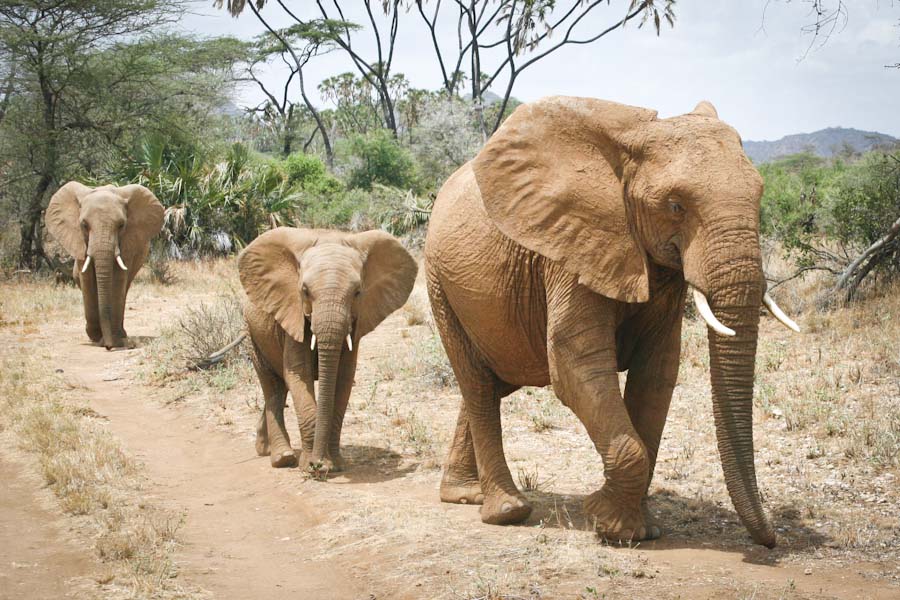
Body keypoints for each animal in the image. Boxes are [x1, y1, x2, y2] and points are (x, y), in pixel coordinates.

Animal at [46, 180, 165, 350]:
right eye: (84, 225)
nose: (108, 346)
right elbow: (87, 279)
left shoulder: (127, 243)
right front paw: (96, 337)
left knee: (125, 287)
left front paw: (114, 339)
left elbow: (118, 280)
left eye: (121, 225)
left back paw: (120, 333)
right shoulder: (79, 240)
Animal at [241, 227, 420, 472]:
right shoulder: (293, 315)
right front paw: (311, 466)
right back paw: (282, 458)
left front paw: (334, 465)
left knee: (280, 386)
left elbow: (344, 378)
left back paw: (264, 448)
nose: (317, 465)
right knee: (272, 386)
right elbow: (299, 374)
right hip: (252, 332)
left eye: (357, 292)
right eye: (304, 291)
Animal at [426, 97, 800, 548]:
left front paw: (641, 528)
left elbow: (657, 373)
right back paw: (507, 511)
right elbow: (576, 364)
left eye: (760, 195)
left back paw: (464, 494)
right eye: (675, 205)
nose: (772, 539)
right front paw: (610, 526)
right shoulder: (571, 248)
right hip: (439, 283)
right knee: (479, 385)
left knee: (491, 382)